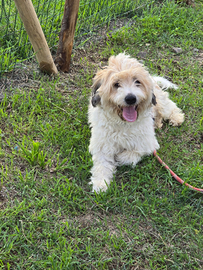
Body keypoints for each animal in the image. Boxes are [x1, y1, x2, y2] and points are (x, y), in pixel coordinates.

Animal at [87, 52, 184, 192]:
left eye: (137, 81)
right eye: (116, 84)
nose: (131, 98)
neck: (123, 123)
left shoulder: (148, 142)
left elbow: (133, 153)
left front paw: (120, 157)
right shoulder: (102, 145)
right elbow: (101, 165)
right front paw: (100, 184)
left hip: (161, 101)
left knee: (169, 105)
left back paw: (176, 118)